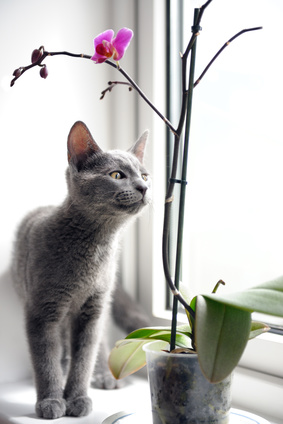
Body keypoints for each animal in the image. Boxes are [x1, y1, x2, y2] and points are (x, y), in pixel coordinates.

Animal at [11, 121, 151, 420]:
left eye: (145, 174)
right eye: (116, 175)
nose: (144, 187)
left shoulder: (92, 310)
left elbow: (84, 356)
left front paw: (76, 398)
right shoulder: (43, 310)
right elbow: (45, 359)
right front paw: (51, 401)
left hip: (100, 303)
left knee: (98, 342)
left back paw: (104, 377)